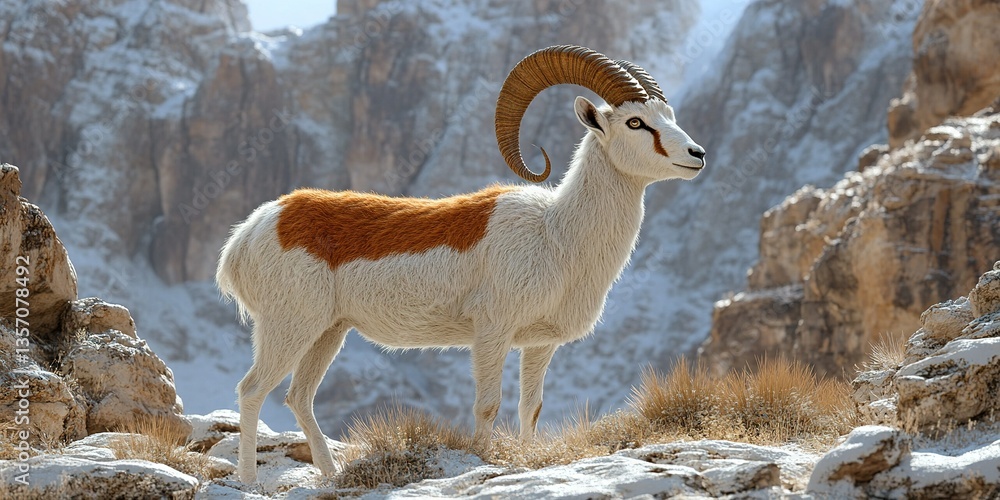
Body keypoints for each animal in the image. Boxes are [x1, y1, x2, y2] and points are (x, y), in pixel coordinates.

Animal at [217, 45, 707, 483]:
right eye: (635, 121)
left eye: (669, 115)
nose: (697, 155)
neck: (555, 235)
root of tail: (255, 229)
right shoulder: (491, 334)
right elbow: (487, 405)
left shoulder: (539, 345)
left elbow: (530, 408)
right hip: (289, 328)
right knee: (253, 390)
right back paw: (250, 483)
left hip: (327, 333)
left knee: (299, 397)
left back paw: (331, 475)